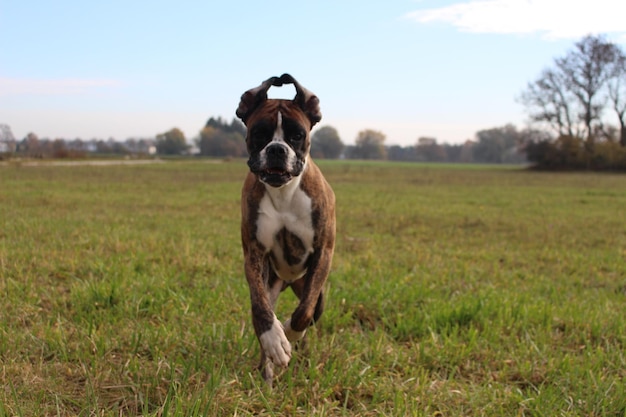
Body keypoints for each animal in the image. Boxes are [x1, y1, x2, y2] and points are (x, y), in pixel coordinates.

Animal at [235, 74, 334, 384]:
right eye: (260, 133)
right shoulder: (254, 254)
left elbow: (304, 312)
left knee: (312, 309)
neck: (283, 193)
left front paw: (290, 331)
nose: (277, 149)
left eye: (297, 135)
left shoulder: (323, 253)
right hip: (273, 283)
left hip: (317, 292)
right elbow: (260, 309)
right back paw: (267, 371)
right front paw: (275, 339)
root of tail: (290, 281)